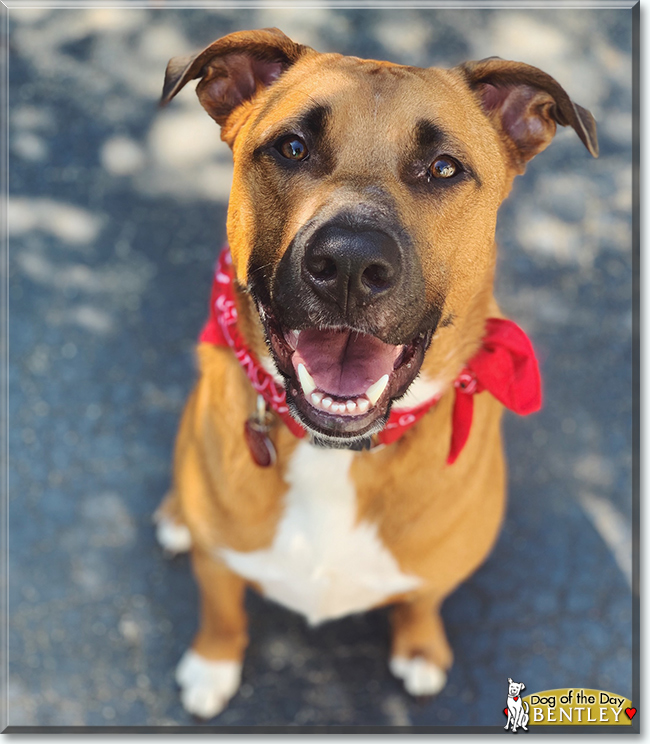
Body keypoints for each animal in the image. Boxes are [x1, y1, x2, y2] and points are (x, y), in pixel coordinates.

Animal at [153, 30, 596, 720]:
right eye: (292, 147)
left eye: (444, 168)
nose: (350, 264)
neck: (335, 455)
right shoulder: (220, 565)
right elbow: (222, 607)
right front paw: (212, 663)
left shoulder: (434, 571)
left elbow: (422, 600)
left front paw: (421, 648)